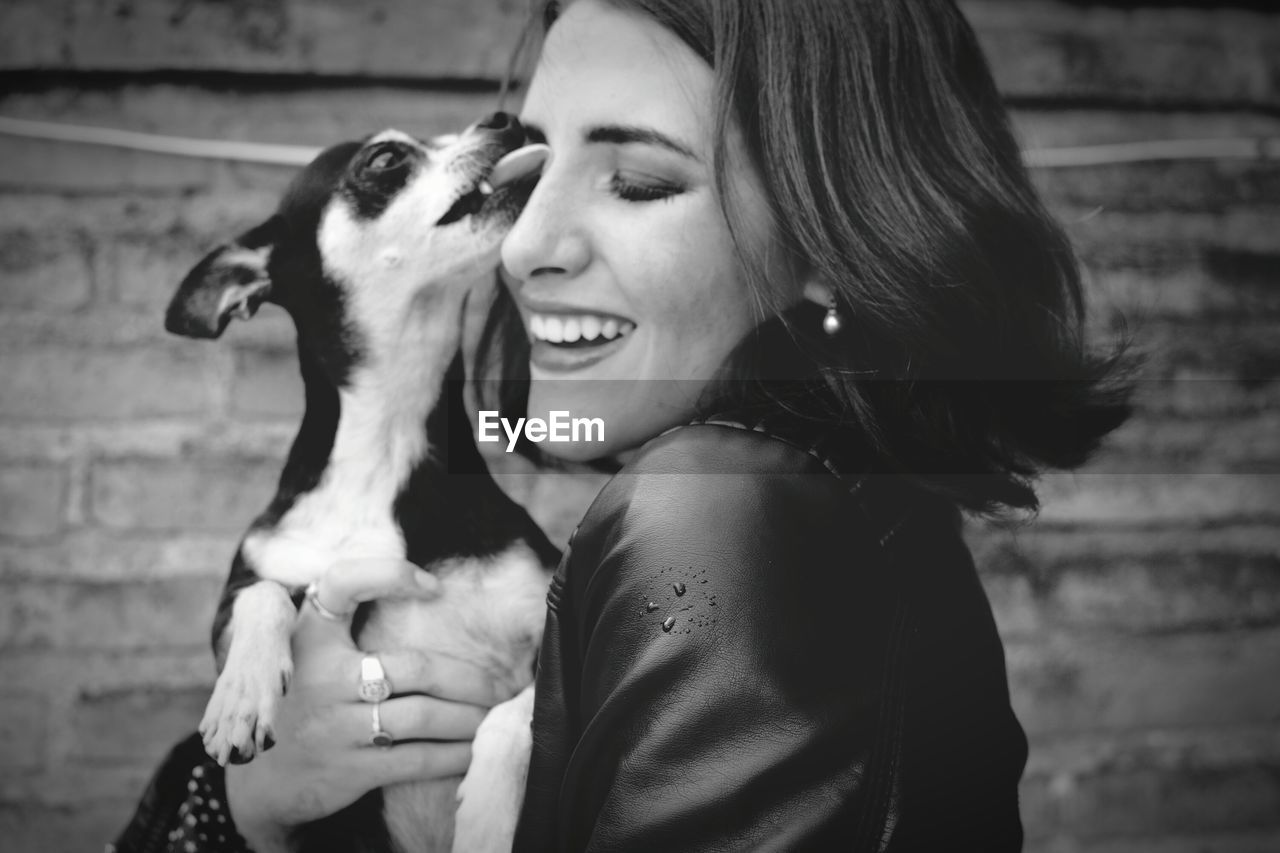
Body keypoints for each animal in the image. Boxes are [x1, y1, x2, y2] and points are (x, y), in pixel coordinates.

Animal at [162, 112, 558, 850]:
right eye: (385, 160)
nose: (505, 118)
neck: (386, 442)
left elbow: (511, 720)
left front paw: (488, 812)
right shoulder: (246, 584)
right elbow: (265, 593)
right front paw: (241, 696)